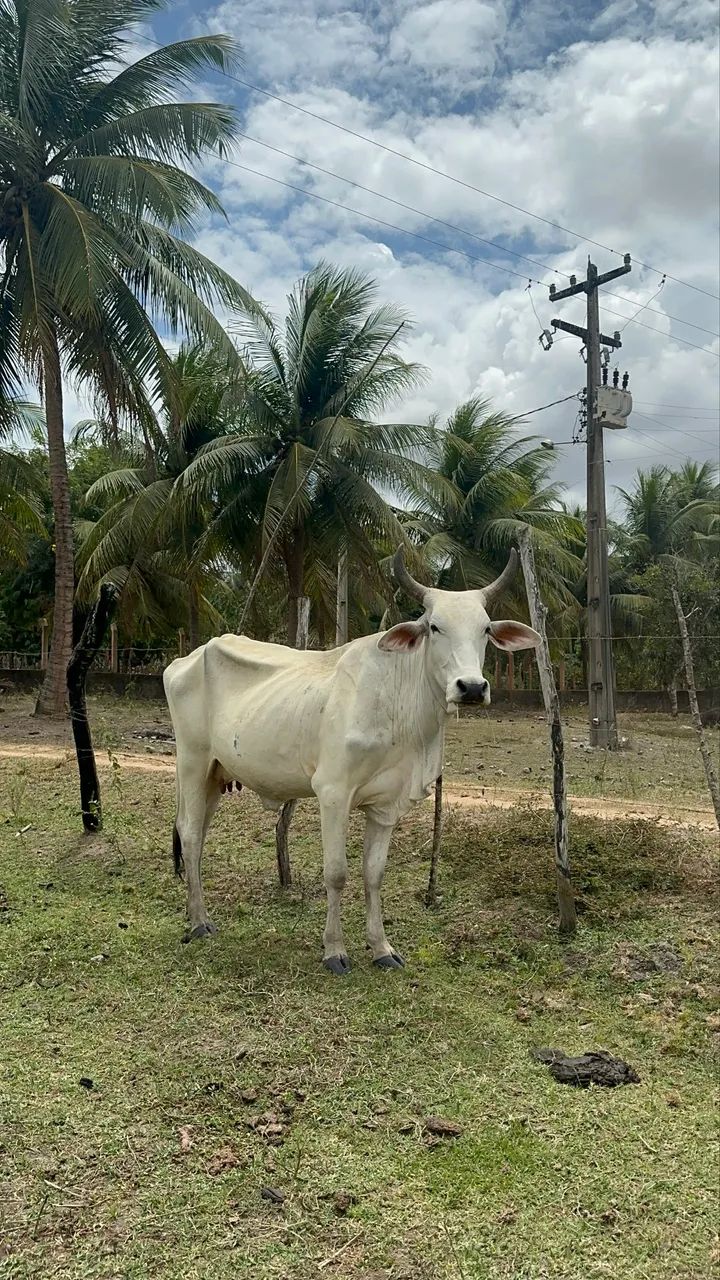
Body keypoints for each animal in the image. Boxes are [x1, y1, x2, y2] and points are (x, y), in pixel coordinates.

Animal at [163, 548, 541, 974]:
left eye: (486, 630)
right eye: (435, 627)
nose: (472, 688)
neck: (400, 707)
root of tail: (188, 657)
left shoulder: (387, 805)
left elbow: (373, 874)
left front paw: (381, 948)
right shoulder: (332, 793)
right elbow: (337, 873)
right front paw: (334, 950)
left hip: (216, 774)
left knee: (197, 834)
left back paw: (195, 913)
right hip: (192, 762)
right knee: (190, 835)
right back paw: (198, 922)